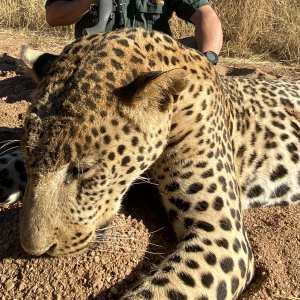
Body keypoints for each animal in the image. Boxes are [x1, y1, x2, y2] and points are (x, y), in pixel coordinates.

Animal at [0, 27, 298, 298]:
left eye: (83, 169)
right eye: (30, 161)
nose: (34, 251)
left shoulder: (219, 233)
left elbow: (157, 293)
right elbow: (11, 159)